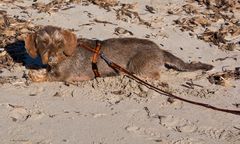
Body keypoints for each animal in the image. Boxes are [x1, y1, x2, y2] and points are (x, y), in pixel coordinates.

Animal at [24, 25, 213, 82]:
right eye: (43, 42)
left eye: (59, 42)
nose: (51, 57)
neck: (63, 56)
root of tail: (160, 50)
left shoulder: (61, 75)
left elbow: (47, 76)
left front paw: (33, 75)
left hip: (137, 66)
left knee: (155, 75)